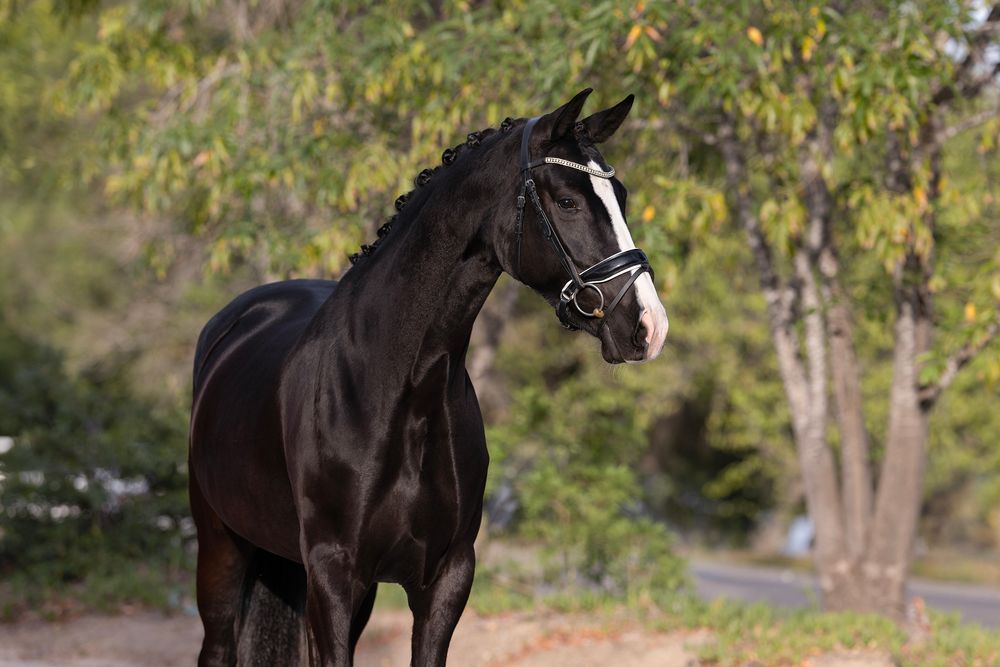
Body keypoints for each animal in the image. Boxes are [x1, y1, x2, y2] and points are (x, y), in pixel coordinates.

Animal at [188, 88, 669, 667]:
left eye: (620, 196)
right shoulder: (332, 571)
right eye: (569, 202)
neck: (400, 390)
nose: (648, 325)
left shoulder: (445, 577)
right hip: (221, 547)